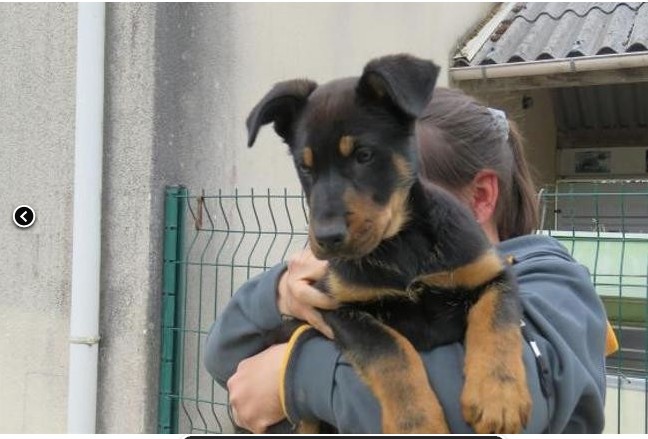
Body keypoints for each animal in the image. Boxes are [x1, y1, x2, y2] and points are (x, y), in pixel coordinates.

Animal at [246, 54, 528, 434]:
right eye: (305, 168)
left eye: (364, 155)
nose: (327, 239)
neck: (400, 245)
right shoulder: (337, 307)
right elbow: (391, 351)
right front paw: (416, 423)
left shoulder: (493, 274)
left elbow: (496, 320)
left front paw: (498, 396)